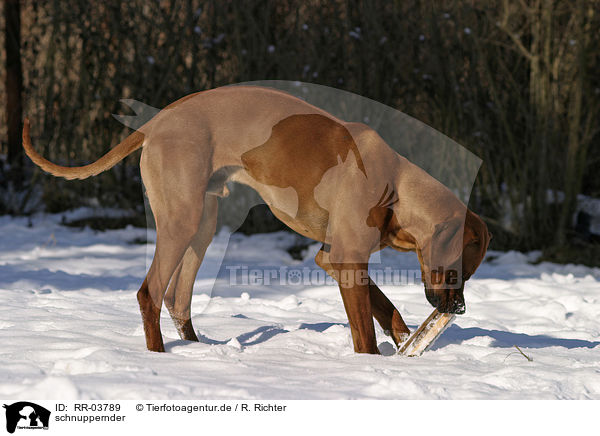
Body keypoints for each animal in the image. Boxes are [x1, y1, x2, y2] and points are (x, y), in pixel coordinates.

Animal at [23, 86, 492, 354]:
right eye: (455, 268)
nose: (459, 308)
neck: (395, 184)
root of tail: (156, 121)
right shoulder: (347, 259)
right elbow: (364, 332)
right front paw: (372, 365)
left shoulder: (333, 257)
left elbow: (385, 305)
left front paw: (405, 341)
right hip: (181, 219)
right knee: (150, 293)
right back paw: (160, 357)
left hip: (202, 223)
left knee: (178, 298)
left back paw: (198, 351)